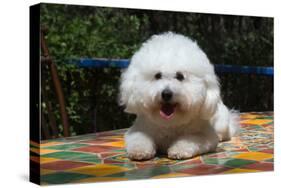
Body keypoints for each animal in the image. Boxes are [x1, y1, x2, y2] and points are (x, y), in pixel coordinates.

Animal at [118, 32, 238, 160]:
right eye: (157, 75)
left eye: (180, 76)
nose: (166, 94)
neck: (170, 122)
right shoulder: (138, 129)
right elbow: (139, 138)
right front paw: (139, 151)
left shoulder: (206, 136)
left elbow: (191, 139)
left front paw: (179, 150)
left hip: (222, 123)